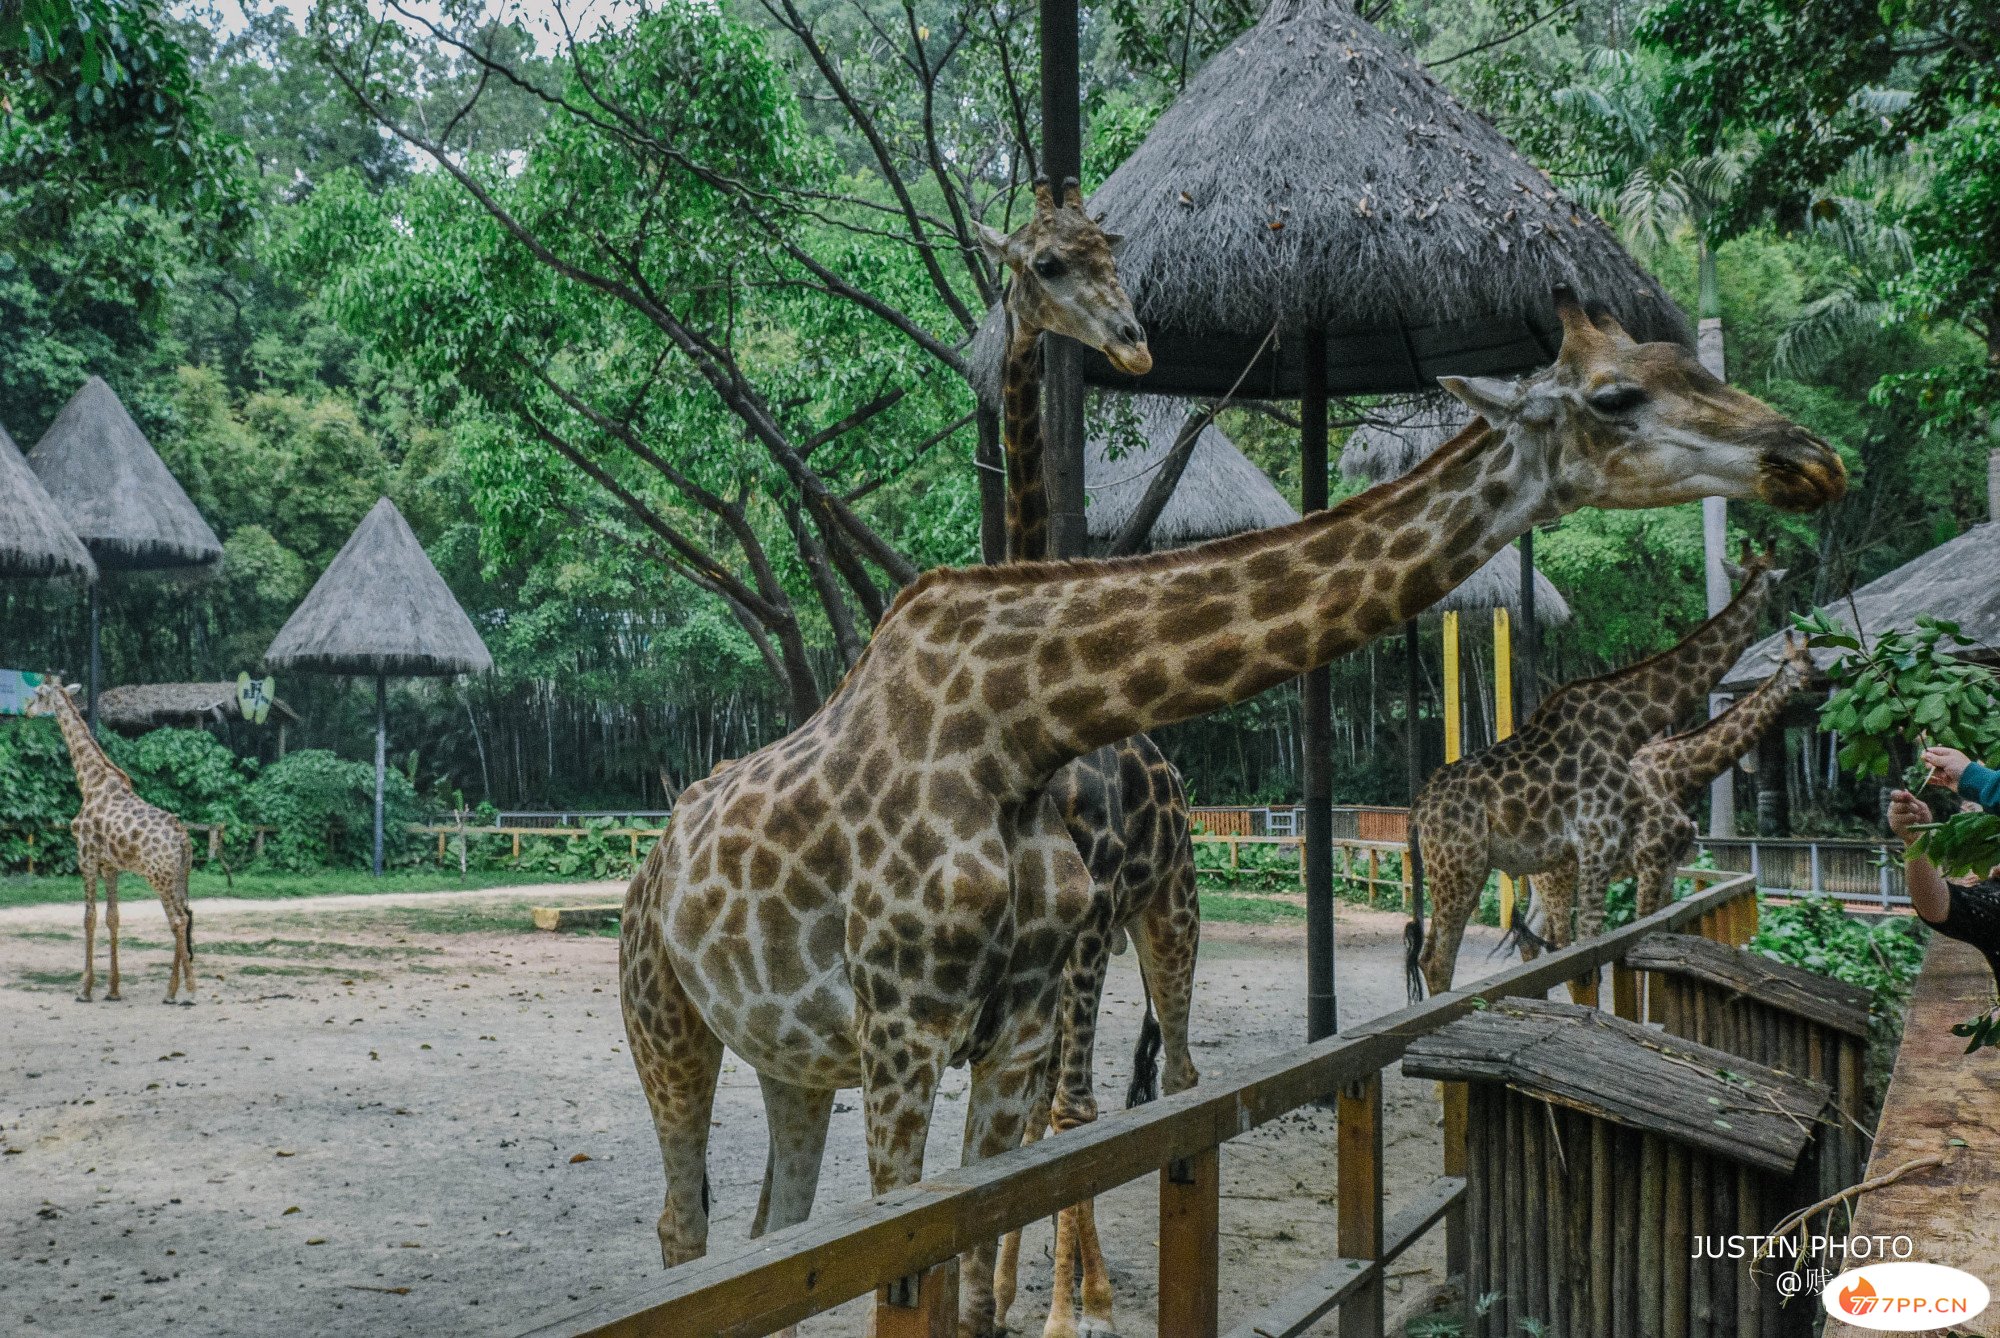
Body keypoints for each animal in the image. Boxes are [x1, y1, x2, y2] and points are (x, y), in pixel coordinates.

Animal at [24, 680, 195, 1000]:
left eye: (38, 694)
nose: (27, 710)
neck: (90, 782)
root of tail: (183, 839)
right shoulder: (110, 865)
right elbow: (113, 917)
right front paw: (113, 989)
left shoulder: (86, 858)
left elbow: (89, 918)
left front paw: (84, 989)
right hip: (178, 877)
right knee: (185, 917)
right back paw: (174, 990)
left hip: (159, 877)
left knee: (177, 921)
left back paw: (183, 992)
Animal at [1416, 548, 1792, 996]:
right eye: (1774, 583)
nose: (1789, 625)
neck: (1628, 726)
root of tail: (1418, 809)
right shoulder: (1606, 843)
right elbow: (1591, 954)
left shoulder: (1642, 858)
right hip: (1461, 868)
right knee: (1440, 958)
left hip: (1481, 871)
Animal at [1616, 632, 1824, 924]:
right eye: (1784, 661)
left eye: (1811, 660)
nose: (1804, 682)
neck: (1677, 778)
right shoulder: (1649, 862)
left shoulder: (1670, 864)